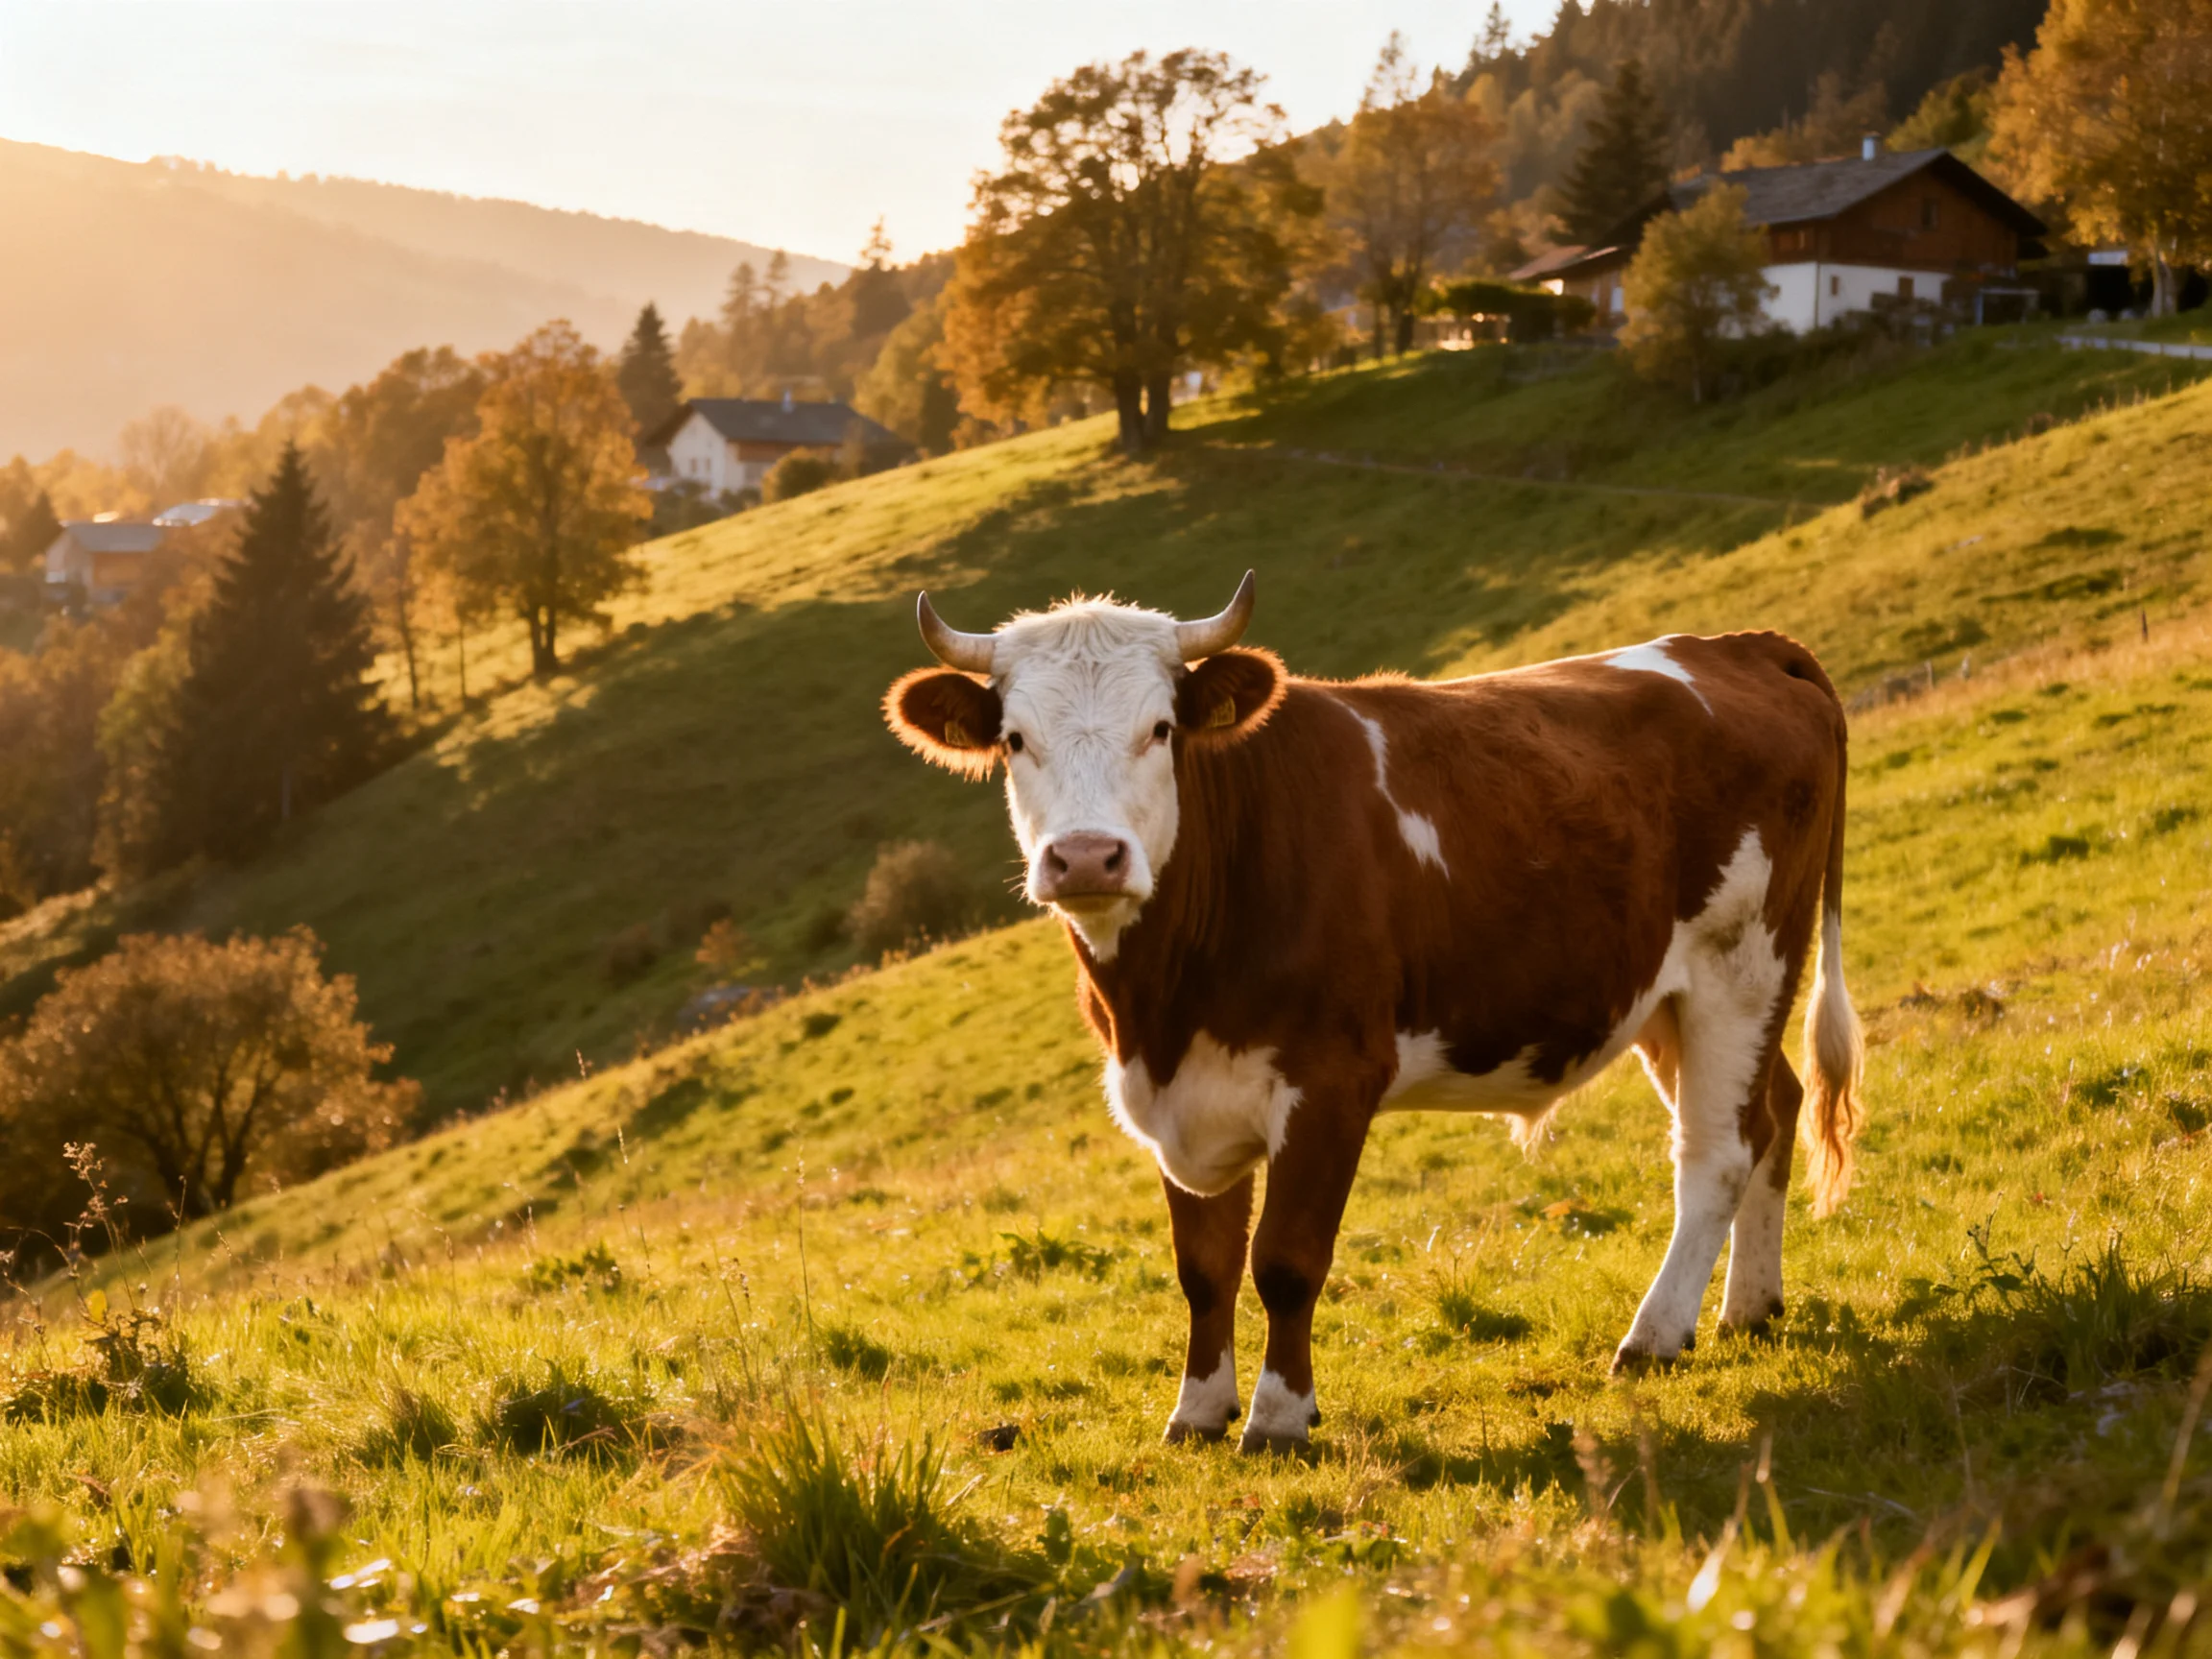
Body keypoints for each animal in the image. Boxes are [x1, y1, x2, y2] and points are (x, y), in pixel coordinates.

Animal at [883, 573, 1864, 1453]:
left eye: (1159, 729)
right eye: (1015, 740)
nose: (1087, 857)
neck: (1163, 1003)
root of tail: (1742, 646)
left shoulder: (1331, 1080)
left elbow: (1285, 1260)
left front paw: (1279, 1419)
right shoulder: (1183, 1094)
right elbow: (1203, 1267)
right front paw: (1197, 1413)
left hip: (1744, 961)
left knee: (1718, 1151)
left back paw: (1654, 1336)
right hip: (1667, 994)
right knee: (1773, 1110)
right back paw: (1748, 1309)